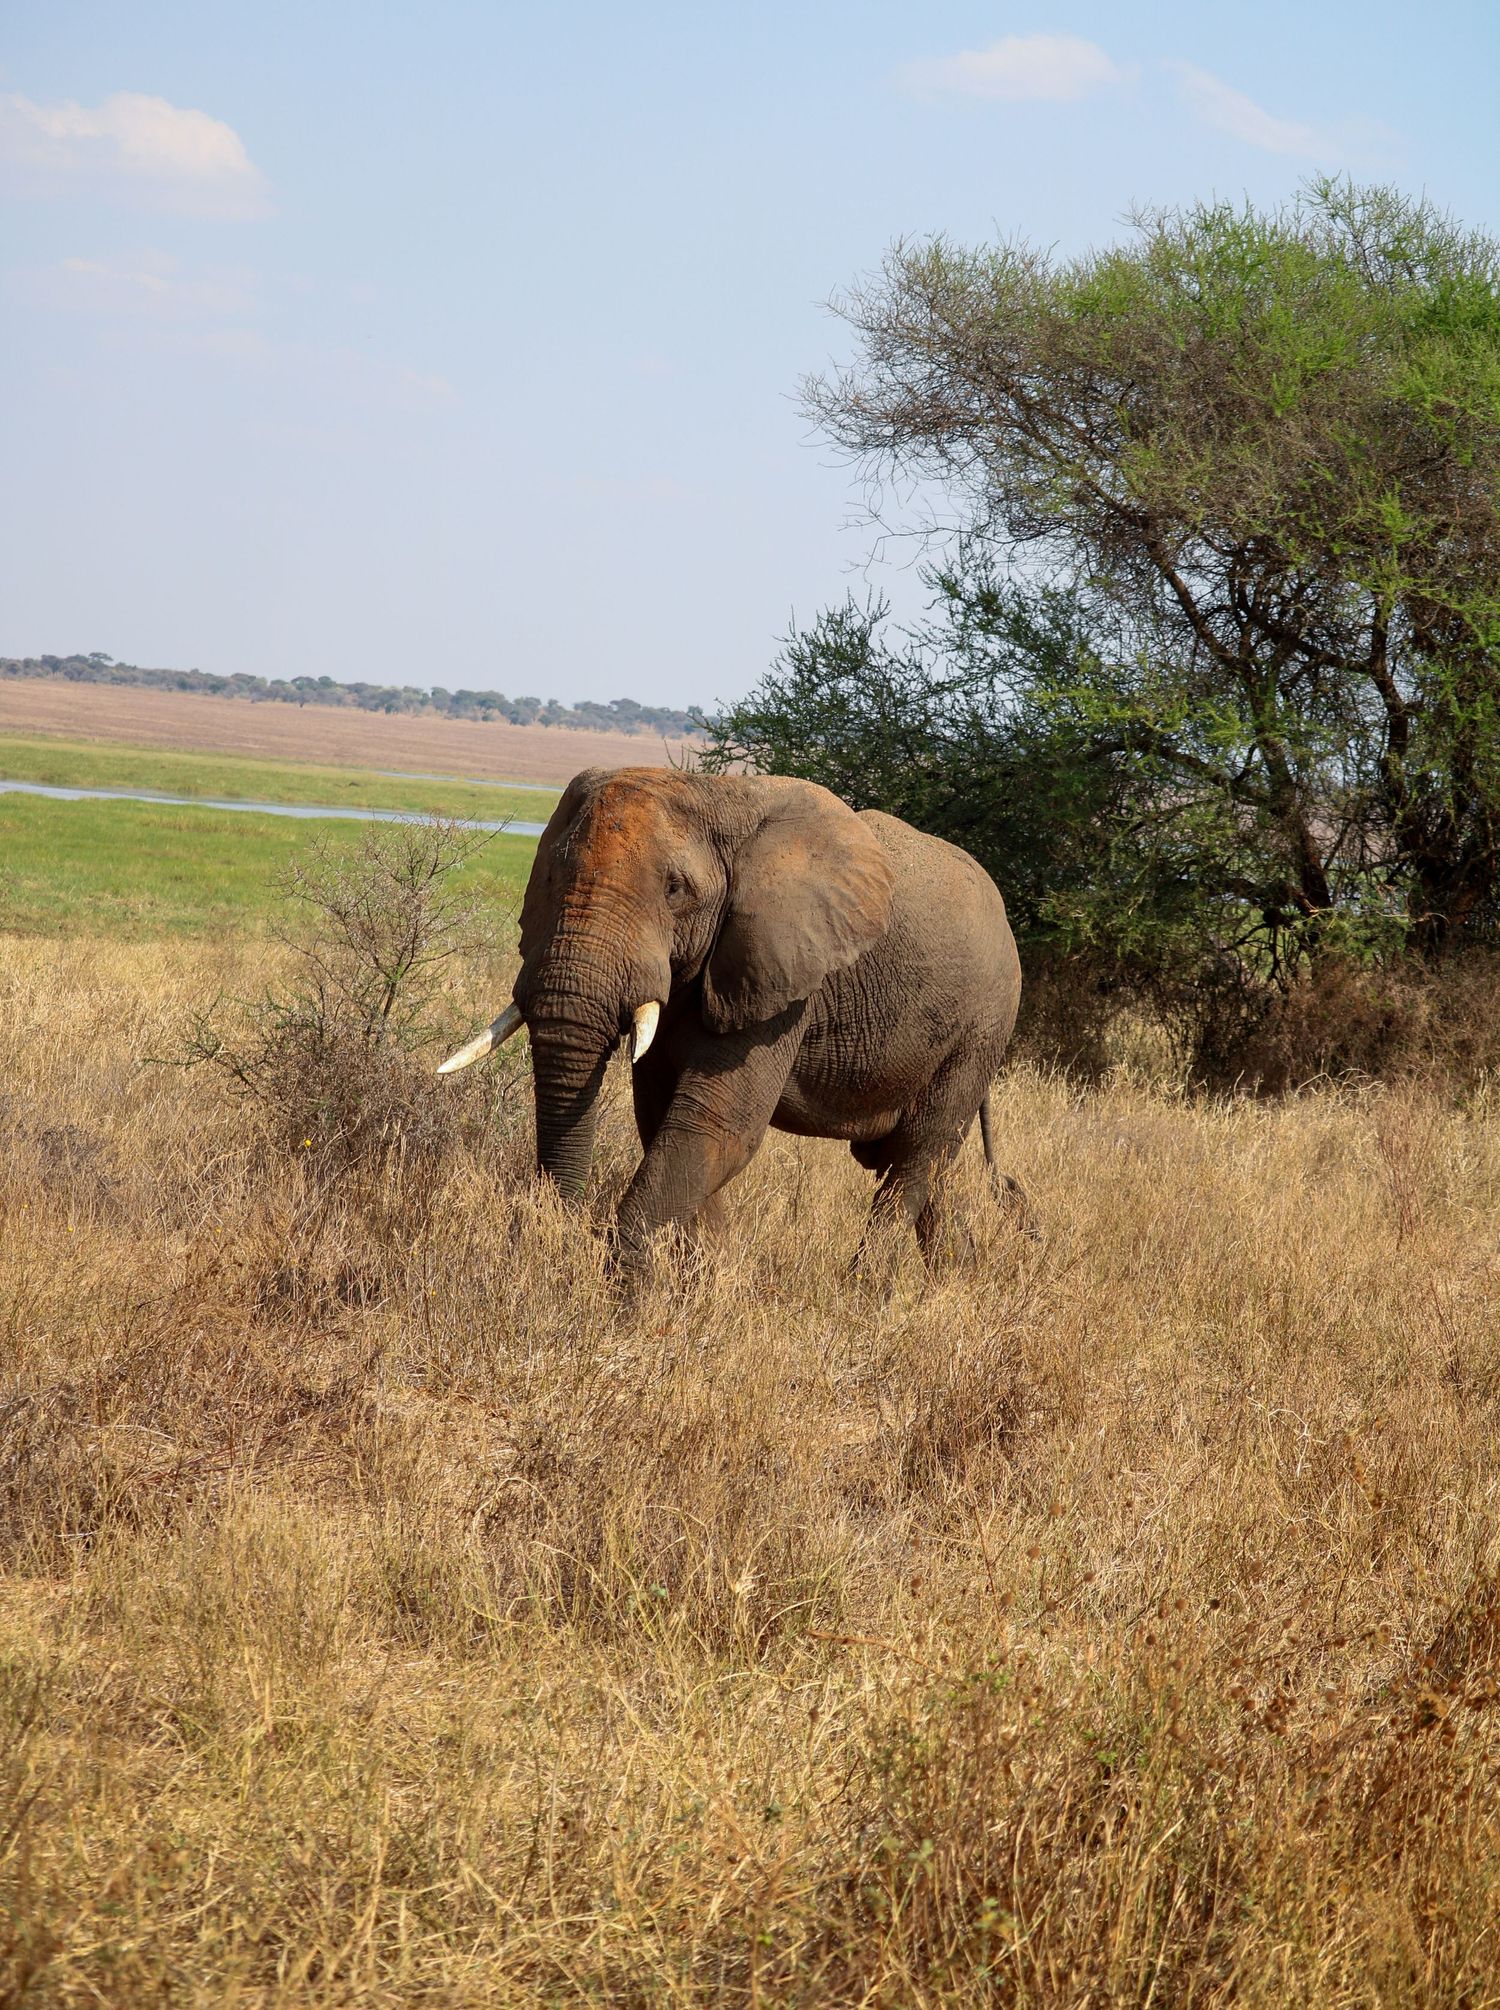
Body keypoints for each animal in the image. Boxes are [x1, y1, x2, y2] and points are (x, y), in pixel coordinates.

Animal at [439, 766, 1027, 1268]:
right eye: (550, 874)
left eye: (675, 889)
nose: (545, 1240)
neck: (711, 792)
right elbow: (662, 1117)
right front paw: (709, 1275)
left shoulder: (782, 974)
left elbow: (715, 1125)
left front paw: (623, 1301)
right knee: (921, 1167)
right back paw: (954, 1278)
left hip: (983, 1025)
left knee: (916, 1157)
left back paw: (868, 1290)